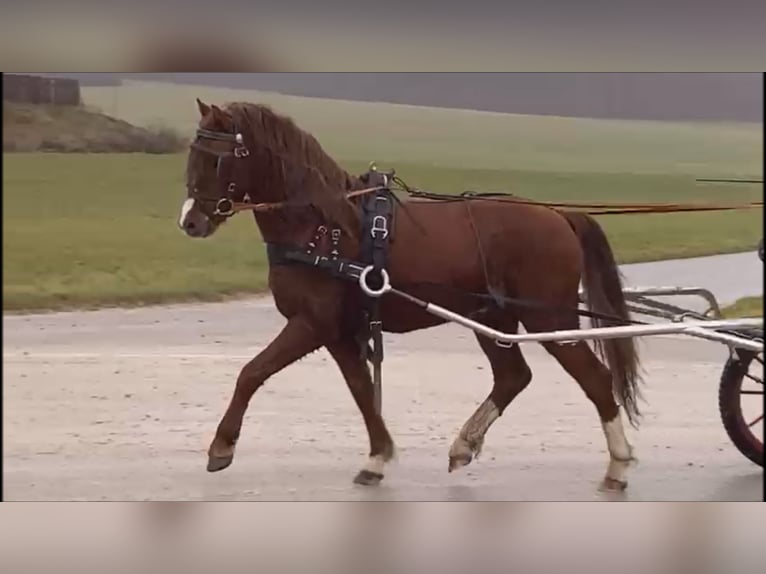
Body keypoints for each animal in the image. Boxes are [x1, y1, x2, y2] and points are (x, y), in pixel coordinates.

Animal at [179, 98, 642, 491]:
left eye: (215, 157)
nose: (190, 222)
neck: (322, 227)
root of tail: (558, 215)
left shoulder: (311, 324)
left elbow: (252, 372)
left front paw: (222, 445)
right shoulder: (339, 332)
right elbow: (362, 390)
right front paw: (378, 457)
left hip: (550, 319)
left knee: (595, 380)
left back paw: (618, 465)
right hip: (493, 319)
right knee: (513, 376)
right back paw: (464, 445)